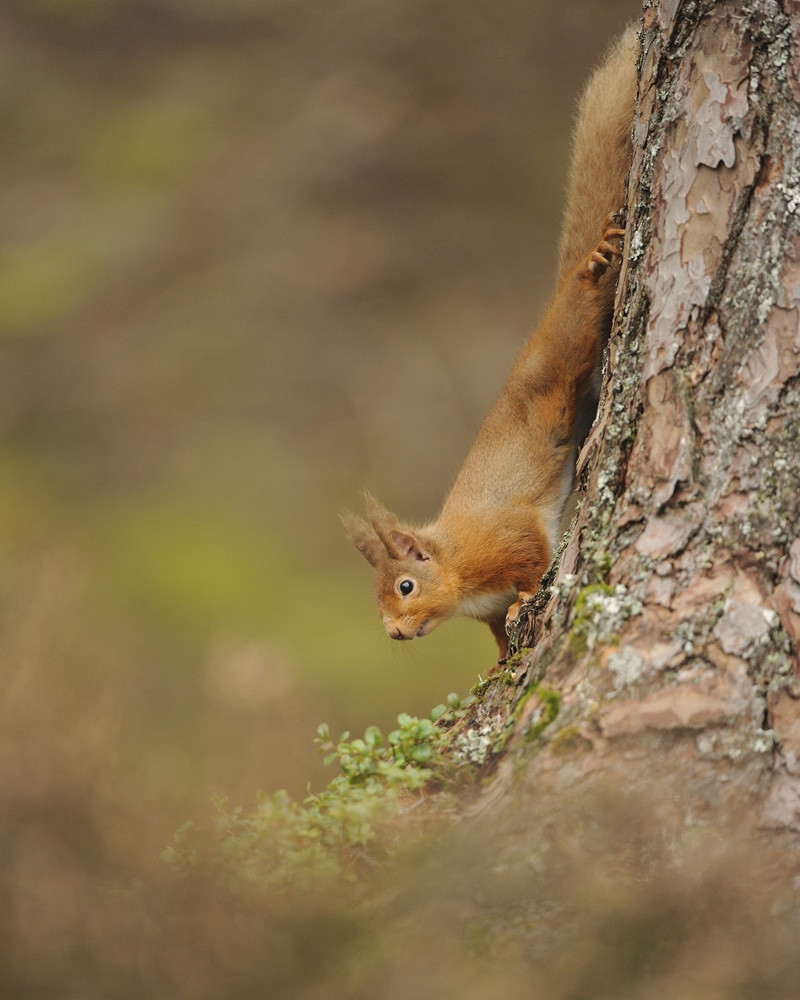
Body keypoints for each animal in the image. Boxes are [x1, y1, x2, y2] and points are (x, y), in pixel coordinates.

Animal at [343, 28, 638, 659]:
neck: (456, 564)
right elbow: (502, 636)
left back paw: (592, 266)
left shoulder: (507, 538)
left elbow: (532, 564)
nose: (395, 633)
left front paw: (530, 598)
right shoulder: (488, 613)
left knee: (578, 313)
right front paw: (501, 659)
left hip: (559, 351)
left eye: (405, 586)